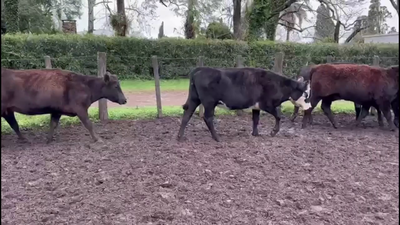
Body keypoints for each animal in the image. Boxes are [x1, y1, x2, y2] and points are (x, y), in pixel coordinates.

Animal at [176, 66, 310, 142]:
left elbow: (256, 119)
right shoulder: (267, 105)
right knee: (207, 118)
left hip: (194, 99)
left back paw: (180, 137)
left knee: (187, 114)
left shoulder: (256, 106)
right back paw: (217, 138)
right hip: (209, 102)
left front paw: (255, 134)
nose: (309, 107)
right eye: (306, 94)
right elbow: (278, 116)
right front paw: (273, 132)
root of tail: (200, 69)